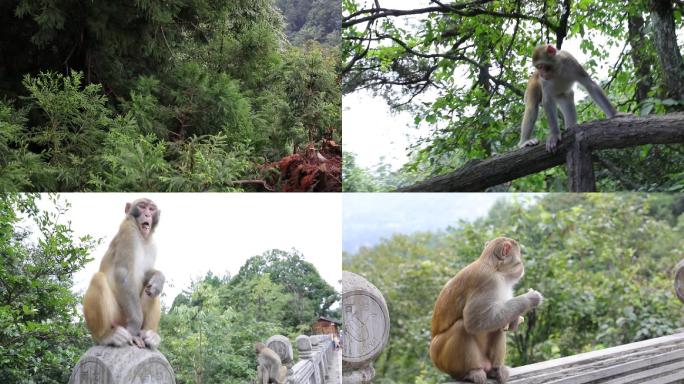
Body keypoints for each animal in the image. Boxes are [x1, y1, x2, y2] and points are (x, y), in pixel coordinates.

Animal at [81, 198, 163, 348]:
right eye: (142, 206)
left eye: (151, 209)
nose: (147, 215)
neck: (142, 237)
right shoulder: (128, 230)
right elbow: (124, 275)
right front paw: (135, 325)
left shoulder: (153, 244)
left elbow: (146, 275)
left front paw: (159, 278)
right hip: (118, 316)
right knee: (98, 278)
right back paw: (106, 336)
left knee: (153, 290)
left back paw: (150, 336)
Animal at [430, 237, 544, 384]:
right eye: (519, 259)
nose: (522, 266)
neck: (496, 269)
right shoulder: (487, 281)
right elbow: (476, 321)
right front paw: (530, 298)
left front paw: (515, 320)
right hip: (440, 357)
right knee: (461, 327)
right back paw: (473, 371)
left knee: (499, 325)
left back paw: (496, 370)